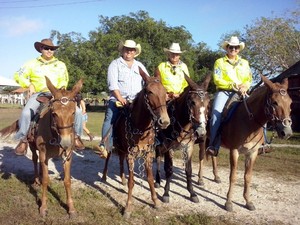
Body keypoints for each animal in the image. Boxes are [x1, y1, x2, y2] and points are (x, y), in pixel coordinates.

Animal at [0, 77, 82, 216]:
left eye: (73, 112)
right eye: (54, 113)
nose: (66, 142)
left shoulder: (68, 156)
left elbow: (67, 180)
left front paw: (71, 208)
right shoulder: (44, 154)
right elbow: (45, 180)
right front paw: (43, 207)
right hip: (33, 147)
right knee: (34, 159)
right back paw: (36, 180)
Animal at [102, 68, 170, 218]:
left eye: (165, 92)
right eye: (149, 91)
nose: (164, 121)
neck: (140, 126)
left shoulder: (148, 154)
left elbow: (150, 178)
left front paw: (156, 201)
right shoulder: (131, 155)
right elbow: (131, 181)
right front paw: (128, 207)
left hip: (122, 148)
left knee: (120, 160)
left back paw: (121, 178)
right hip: (111, 143)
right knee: (108, 157)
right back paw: (103, 176)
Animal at [155, 74, 211, 203]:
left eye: (208, 103)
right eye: (192, 102)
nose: (201, 132)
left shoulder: (188, 147)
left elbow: (188, 170)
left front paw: (192, 193)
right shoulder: (168, 147)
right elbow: (169, 169)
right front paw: (166, 193)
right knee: (157, 158)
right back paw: (157, 180)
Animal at [198, 74, 292, 212]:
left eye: (290, 103)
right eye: (275, 102)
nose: (287, 132)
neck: (248, 122)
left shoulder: (252, 153)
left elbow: (248, 177)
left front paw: (248, 201)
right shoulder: (234, 151)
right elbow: (233, 176)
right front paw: (228, 203)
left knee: (212, 155)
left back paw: (216, 177)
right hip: (202, 139)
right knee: (201, 158)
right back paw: (200, 179)